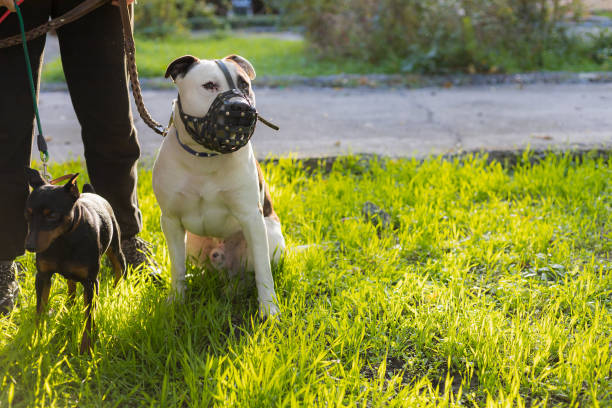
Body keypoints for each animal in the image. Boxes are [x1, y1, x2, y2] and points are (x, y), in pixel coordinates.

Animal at [23, 168, 126, 354]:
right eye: (28, 213)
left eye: (52, 215)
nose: (29, 246)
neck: (62, 240)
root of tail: (91, 193)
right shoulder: (42, 276)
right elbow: (39, 311)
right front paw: (35, 339)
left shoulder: (91, 282)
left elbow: (89, 318)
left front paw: (86, 348)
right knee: (71, 285)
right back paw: (69, 306)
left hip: (115, 249)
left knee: (119, 270)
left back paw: (116, 292)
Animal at [153, 53, 286, 316]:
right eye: (209, 85)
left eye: (244, 84)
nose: (240, 106)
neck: (205, 156)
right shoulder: (170, 220)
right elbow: (177, 268)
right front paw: (176, 301)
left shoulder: (252, 218)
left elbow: (263, 272)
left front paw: (269, 310)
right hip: (192, 244)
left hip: (271, 236)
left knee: (249, 272)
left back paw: (236, 288)